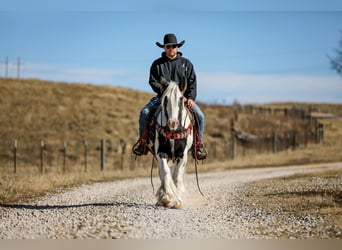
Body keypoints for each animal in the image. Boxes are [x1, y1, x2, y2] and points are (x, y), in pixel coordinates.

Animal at [154, 79, 194, 208]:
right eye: (165, 98)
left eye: (181, 98)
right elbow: (166, 172)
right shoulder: (161, 153)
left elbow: (177, 176)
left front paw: (178, 201)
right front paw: (166, 197)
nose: (173, 123)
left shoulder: (182, 155)